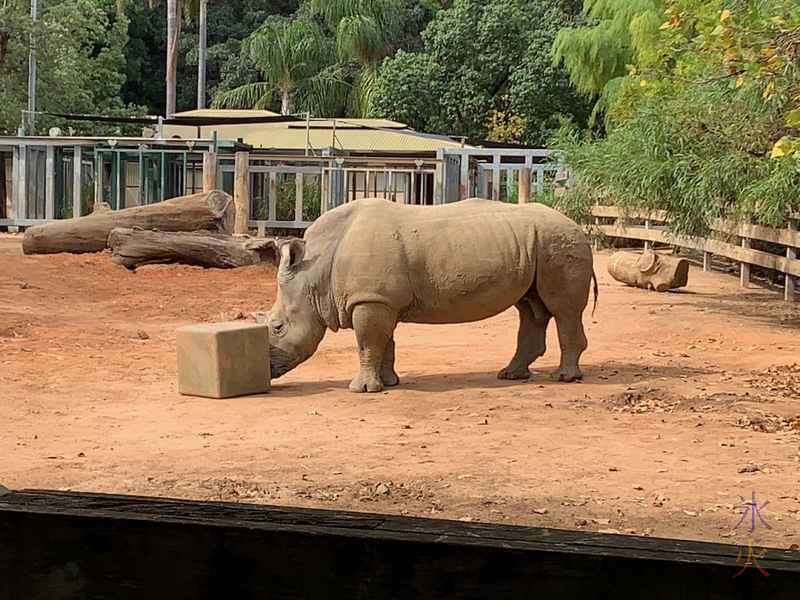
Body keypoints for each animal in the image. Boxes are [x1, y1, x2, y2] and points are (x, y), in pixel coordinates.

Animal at [266, 198, 596, 394]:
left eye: (277, 326)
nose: (268, 370)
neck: (315, 272)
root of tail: (578, 226)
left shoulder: (371, 299)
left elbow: (367, 343)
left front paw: (362, 389)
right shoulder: (383, 300)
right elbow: (385, 342)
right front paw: (389, 383)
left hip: (558, 243)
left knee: (563, 310)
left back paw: (564, 378)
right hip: (537, 244)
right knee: (531, 307)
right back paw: (511, 375)